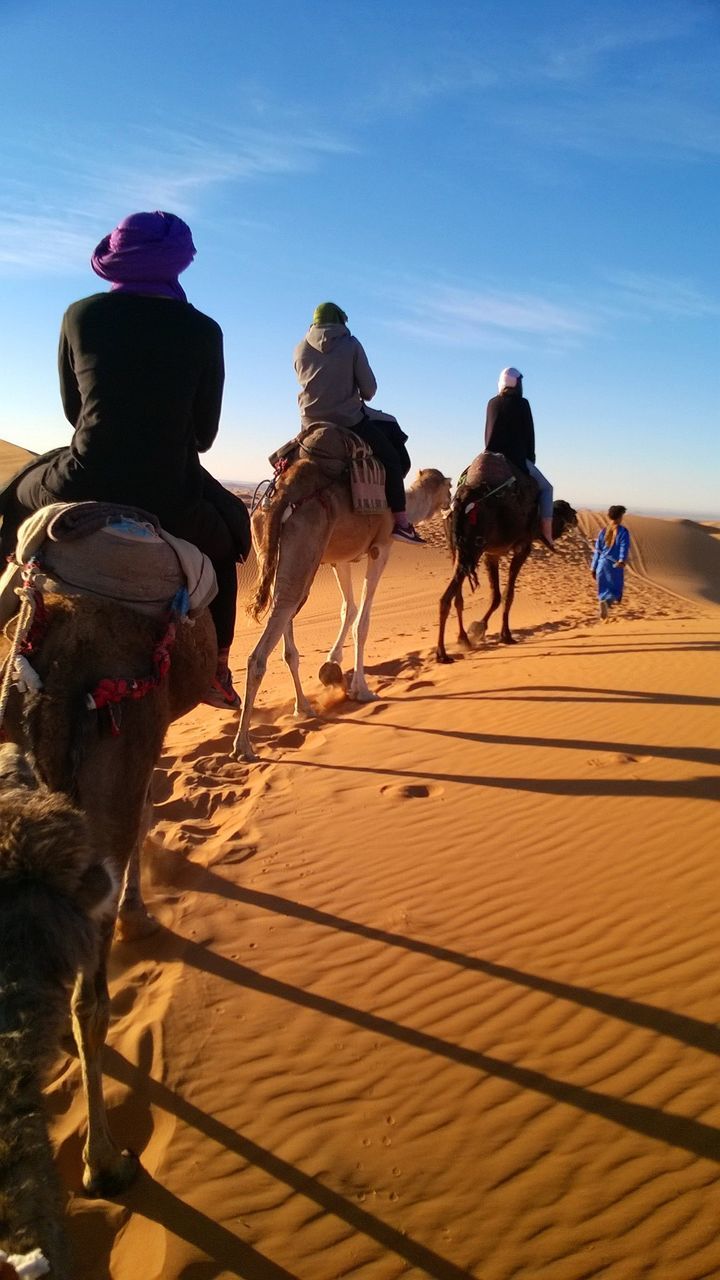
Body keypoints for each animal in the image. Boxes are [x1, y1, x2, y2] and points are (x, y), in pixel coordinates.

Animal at [233, 440, 448, 757]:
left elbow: (349, 607)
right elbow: (363, 620)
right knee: (260, 653)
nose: (452, 502)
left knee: (285, 622)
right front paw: (363, 690)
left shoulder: (340, 560)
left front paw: (331, 665)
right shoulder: (381, 547)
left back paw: (303, 707)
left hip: (275, 557)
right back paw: (243, 745)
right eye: (449, 487)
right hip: (304, 550)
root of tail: (282, 496)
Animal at [435, 453, 573, 660]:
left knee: (455, 597)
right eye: (567, 508)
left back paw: (462, 639)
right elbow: (508, 594)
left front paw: (478, 628)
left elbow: (497, 596)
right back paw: (443, 653)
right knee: (447, 597)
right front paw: (504, 635)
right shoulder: (523, 547)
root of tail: (464, 498)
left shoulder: (491, 553)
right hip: (473, 547)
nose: (575, 514)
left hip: (456, 547)